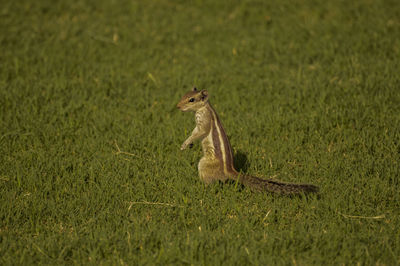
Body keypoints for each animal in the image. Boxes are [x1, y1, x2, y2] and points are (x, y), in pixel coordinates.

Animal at [176, 88, 318, 194]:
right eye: (184, 95)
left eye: (191, 99)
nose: (178, 106)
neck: (203, 108)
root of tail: (230, 170)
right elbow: (194, 132)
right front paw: (187, 144)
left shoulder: (204, 121)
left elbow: (199, 132)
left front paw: (186, 143)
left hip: (204, 164)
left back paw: (201, 187)